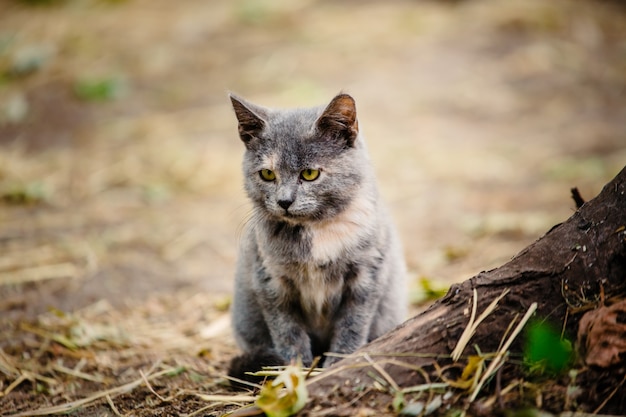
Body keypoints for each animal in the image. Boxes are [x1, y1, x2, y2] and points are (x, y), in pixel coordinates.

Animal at [227, 92, 408, 380]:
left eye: (310, 173)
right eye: (267, 174)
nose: (284, 201)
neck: (315, 230)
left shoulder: (367, 276)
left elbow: (352, 326)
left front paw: (338, 364)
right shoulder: (270, 280)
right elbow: (287, 332)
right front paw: (295, 372)